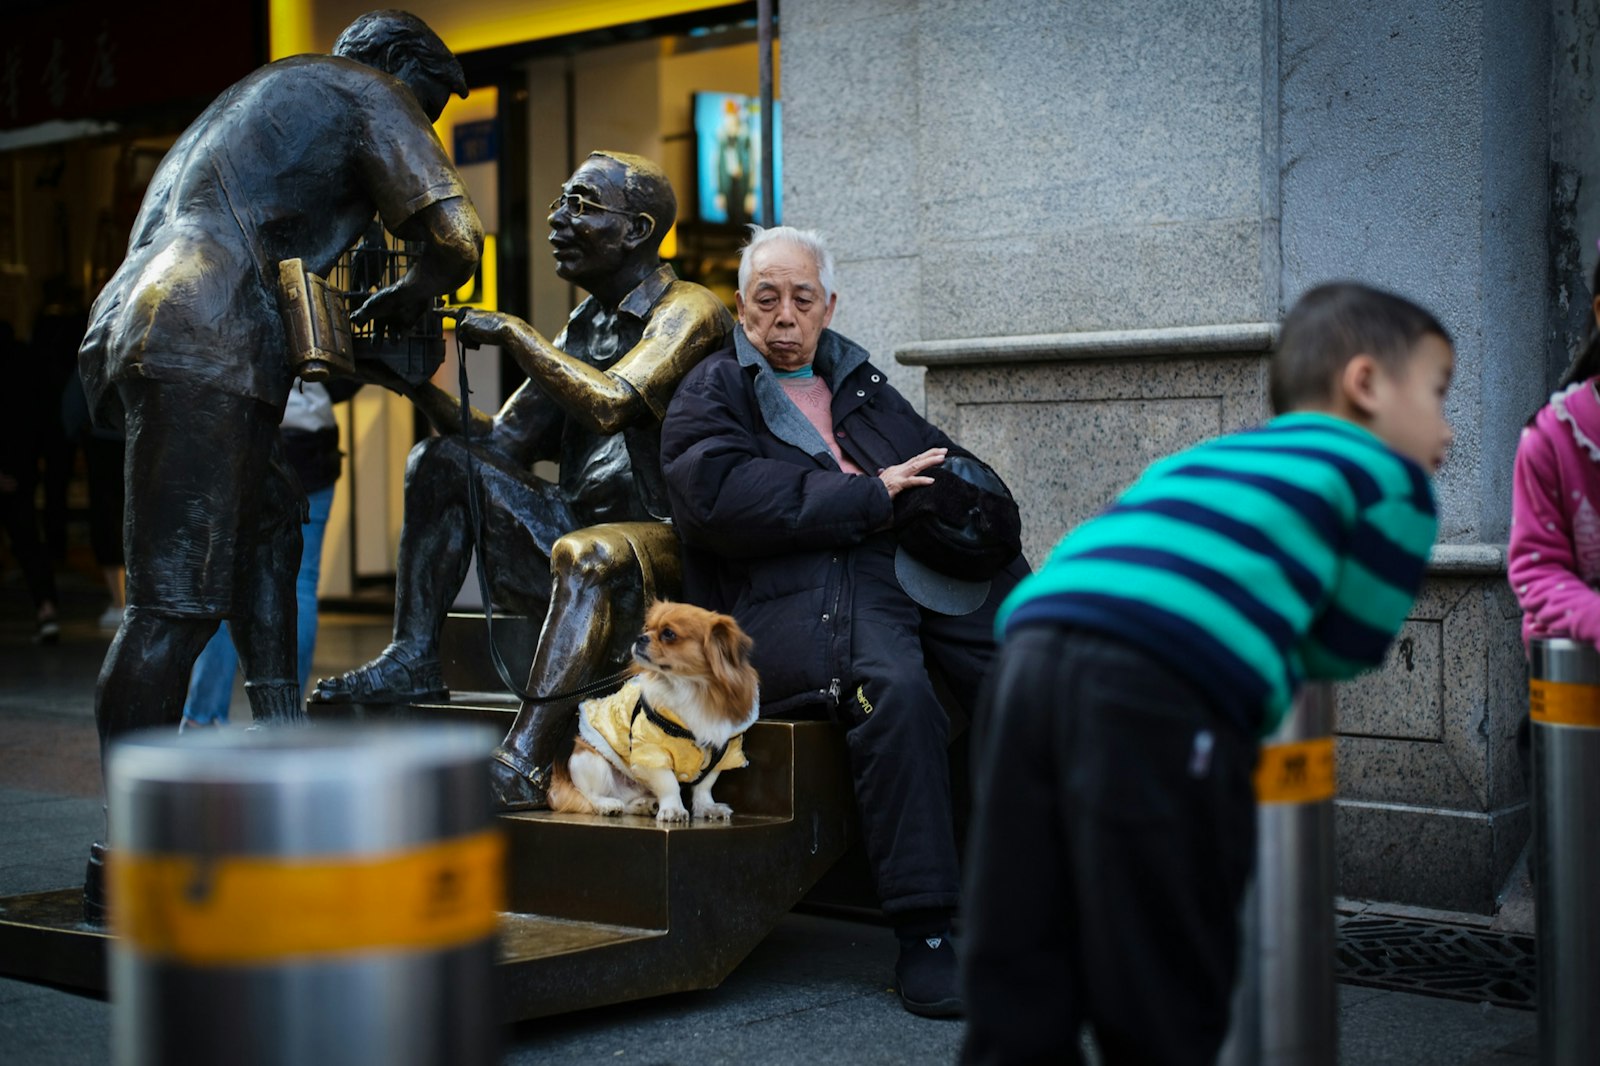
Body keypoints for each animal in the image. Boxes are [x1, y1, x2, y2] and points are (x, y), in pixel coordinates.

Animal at [550, 598, 761, 819]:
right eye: (647, 628)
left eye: (669, 634)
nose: (640, 637)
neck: (690, 689)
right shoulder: (651, 751)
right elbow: (669, 783)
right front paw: (673, 809)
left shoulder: (723, 752)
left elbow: (704, 786)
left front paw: (707, 807)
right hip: (590, 759)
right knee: (591, 795)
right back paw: (608, 805)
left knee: (627, 803)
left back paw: (644, 805)